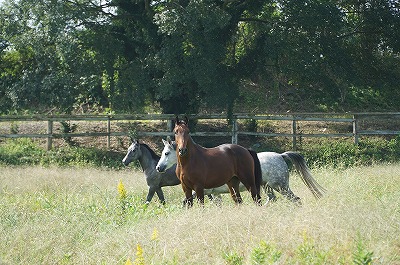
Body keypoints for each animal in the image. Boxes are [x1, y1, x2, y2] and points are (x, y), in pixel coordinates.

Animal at [155, 136, 326, 202]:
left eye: (166, 153)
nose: (158, 167)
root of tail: (280, 156)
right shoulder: (213, 194)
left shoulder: (206, 192)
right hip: (267, 186)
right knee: (271, 199)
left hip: (281, 186)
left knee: (295, 199)